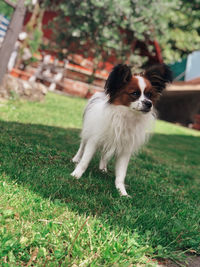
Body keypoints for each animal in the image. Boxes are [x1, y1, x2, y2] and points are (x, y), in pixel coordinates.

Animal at [71, 63, 173, 196]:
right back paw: (76, 159)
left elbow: (121, 174)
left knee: (104, 154)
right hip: (87, 133)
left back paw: (103, 168)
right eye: (135, 93)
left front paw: (122, 192)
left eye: (149, 95)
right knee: (82, 146)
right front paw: (76, 175)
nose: (149, 103)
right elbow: (85, 160)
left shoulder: (125, 149)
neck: (126, 116)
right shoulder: (94, 140)